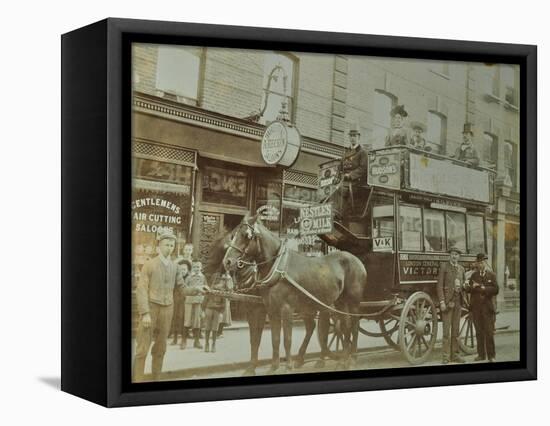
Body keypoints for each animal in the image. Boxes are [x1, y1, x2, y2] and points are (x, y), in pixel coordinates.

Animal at [222, 215, 368, 372]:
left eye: (246, 235)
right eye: (233, 235)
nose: (227, 261)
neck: (278, 267)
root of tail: (357, 260)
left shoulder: (286, 308)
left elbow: (287, 339)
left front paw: (288, 366)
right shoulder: (271, 309)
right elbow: (275, 338)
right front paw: (274, 367)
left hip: (352, 302)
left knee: (353, 326)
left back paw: (352, 359)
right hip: (337, 302)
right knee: (343, 326)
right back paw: (342, 360)